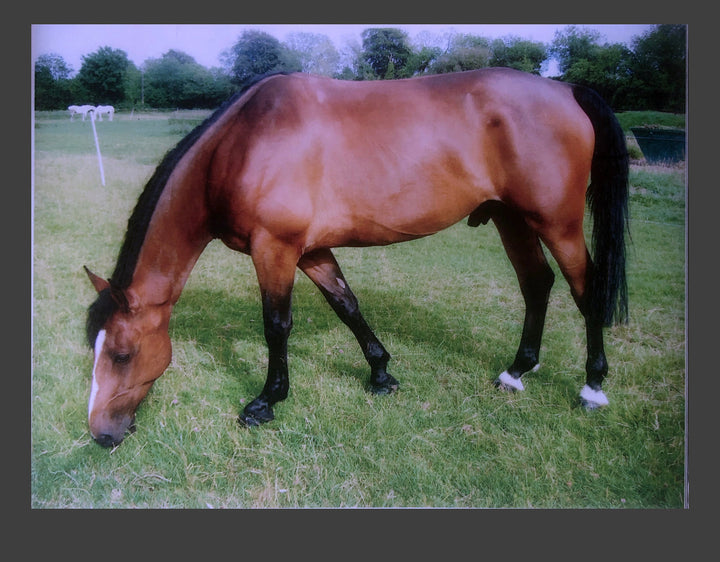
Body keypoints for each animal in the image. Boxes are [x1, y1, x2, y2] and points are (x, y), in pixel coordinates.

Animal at [84, 68, 628, 448]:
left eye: (121, 354)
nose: (101, 433)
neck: (243, 144)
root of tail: (566, 90)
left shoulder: (274, 249)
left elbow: (276, 325)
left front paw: (266, 401)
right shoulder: (310, 250)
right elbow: (347, 305)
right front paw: (381, 374)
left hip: (556, 223)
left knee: (585, 290)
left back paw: (593, 387)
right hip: (511, 218)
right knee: (537, 283)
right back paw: (516, 372)